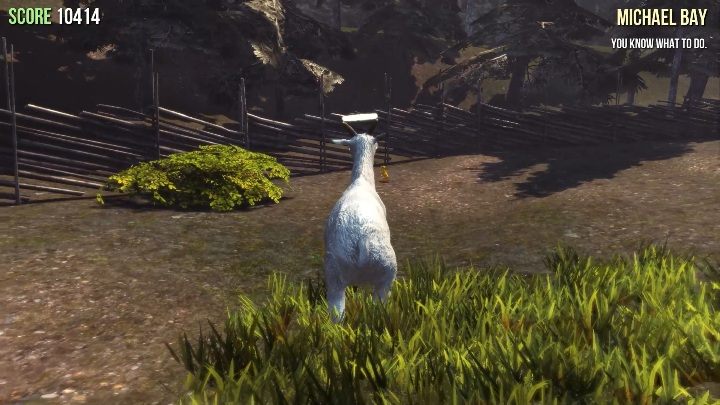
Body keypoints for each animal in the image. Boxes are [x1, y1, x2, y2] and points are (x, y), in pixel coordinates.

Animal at [324, 114, 397, 322]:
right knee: (378, 308)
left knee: (336, 316)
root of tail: (360, 243)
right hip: (385, 277)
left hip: (334, 280)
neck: (360, 183)